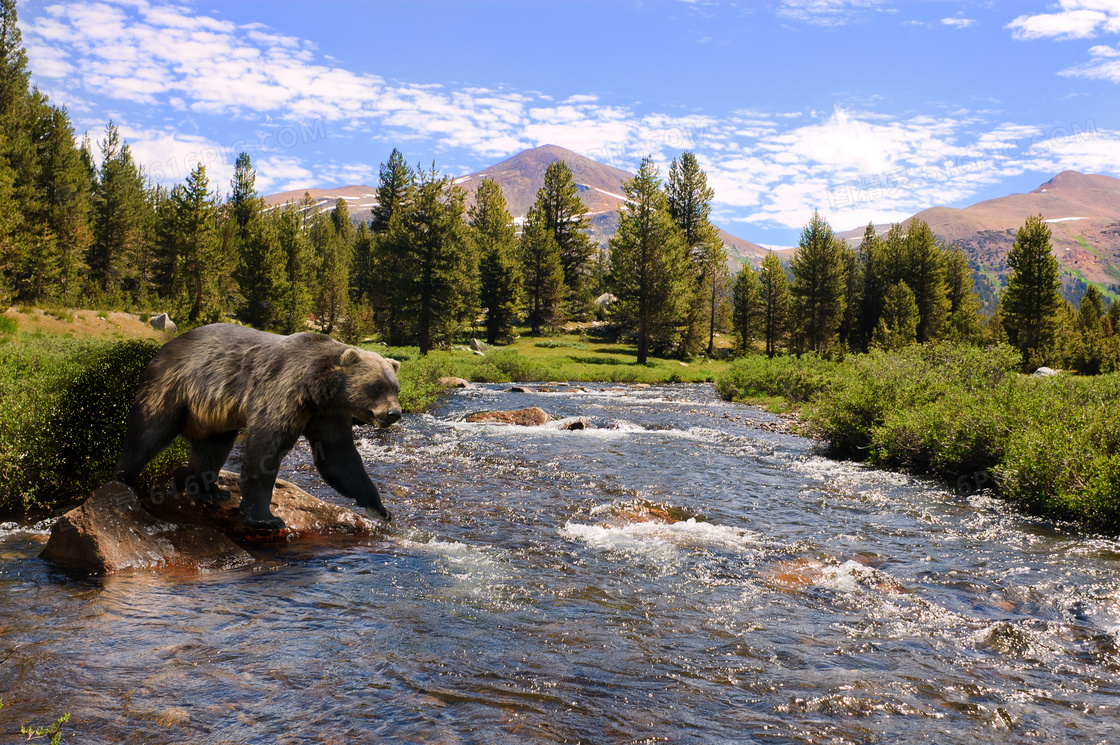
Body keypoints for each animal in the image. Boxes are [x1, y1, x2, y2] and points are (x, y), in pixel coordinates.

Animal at [109, 324, 405, 528]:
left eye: (395, 387)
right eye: (377, 386)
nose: (394, 413)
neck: (317, 388)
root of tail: (164, 348)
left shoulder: (328, 414)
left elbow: (338, 458)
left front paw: (381, 508)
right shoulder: (284, 392)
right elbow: (266, 448)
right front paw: (266, 518)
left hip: (212, 415)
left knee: (212, 448)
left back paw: (209, 489)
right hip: (174, 388)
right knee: (148, 434)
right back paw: (123, 478)